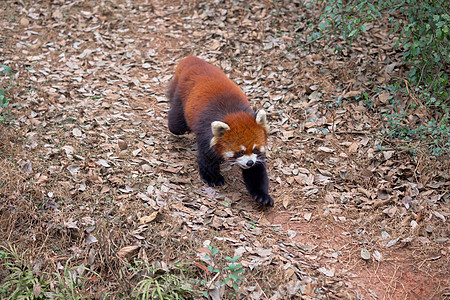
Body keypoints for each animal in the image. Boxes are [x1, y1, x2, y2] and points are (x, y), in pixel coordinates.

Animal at [168, 56, 272, 206]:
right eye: (240, 152)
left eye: (255, 150)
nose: (249, 163)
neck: (234, 114)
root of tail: (195, 62)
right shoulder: (206, 134)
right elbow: (207, 158)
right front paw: (213, 178)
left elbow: (257, 172)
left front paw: (262, 195)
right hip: (182, 97)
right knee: (176, 124)